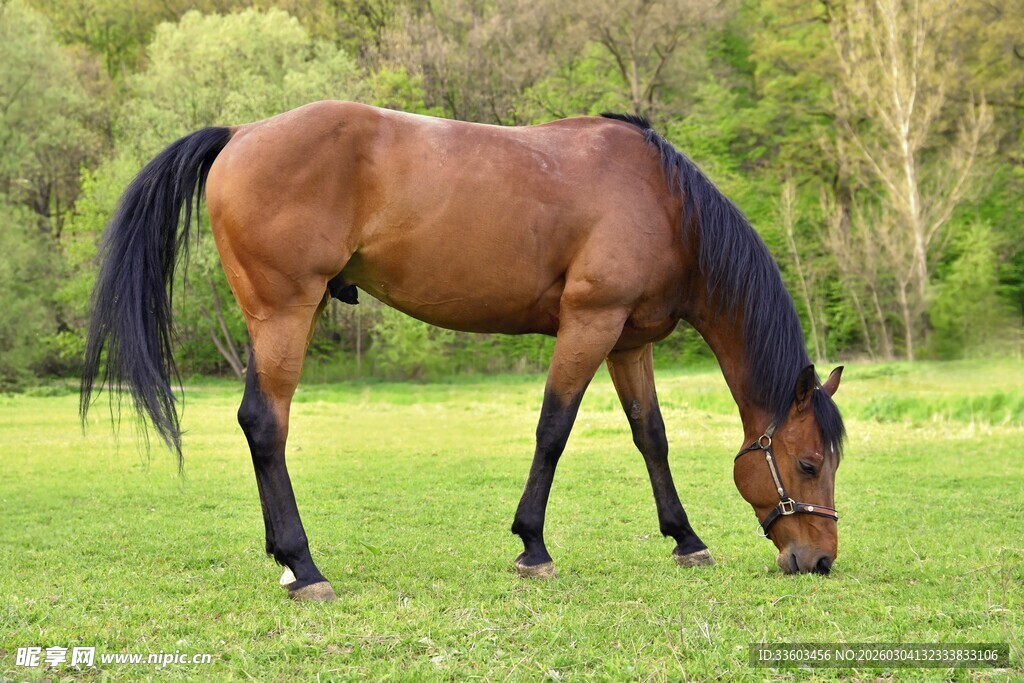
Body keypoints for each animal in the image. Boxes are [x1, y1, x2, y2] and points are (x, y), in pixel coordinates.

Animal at [81, 101, 845, 602]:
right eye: (808, 463)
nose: (819, 558)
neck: (661, 200)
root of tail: (242, 133)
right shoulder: (589, 323)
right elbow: (553, 429)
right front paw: (532, 546)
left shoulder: (627, 341)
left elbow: (649, 436)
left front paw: (685, 538)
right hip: (285, 313)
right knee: (266, 424)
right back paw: (305, 566)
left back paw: (288, 562)